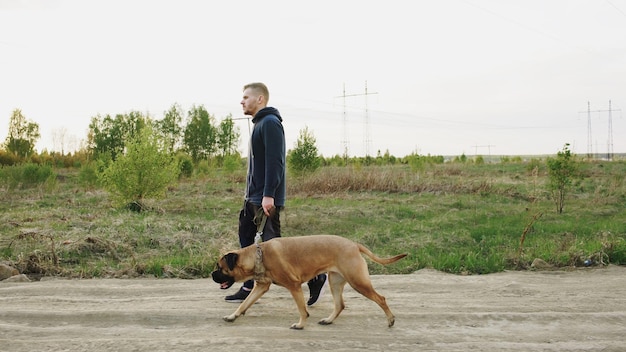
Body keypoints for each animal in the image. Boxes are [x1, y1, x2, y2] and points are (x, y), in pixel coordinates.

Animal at [210, 234, 404, 330]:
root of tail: (354, 245)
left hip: (358, 282)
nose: (212, 275)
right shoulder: (261, 287)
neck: (259, 255)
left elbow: (302, 310)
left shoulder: (294, 286)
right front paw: (233, 316)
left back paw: (390, 320)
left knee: (381, 298)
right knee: (340, 305)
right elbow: (244, 304)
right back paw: (328, 320)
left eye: (220, 267)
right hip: (336, 281)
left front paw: (301, 324)